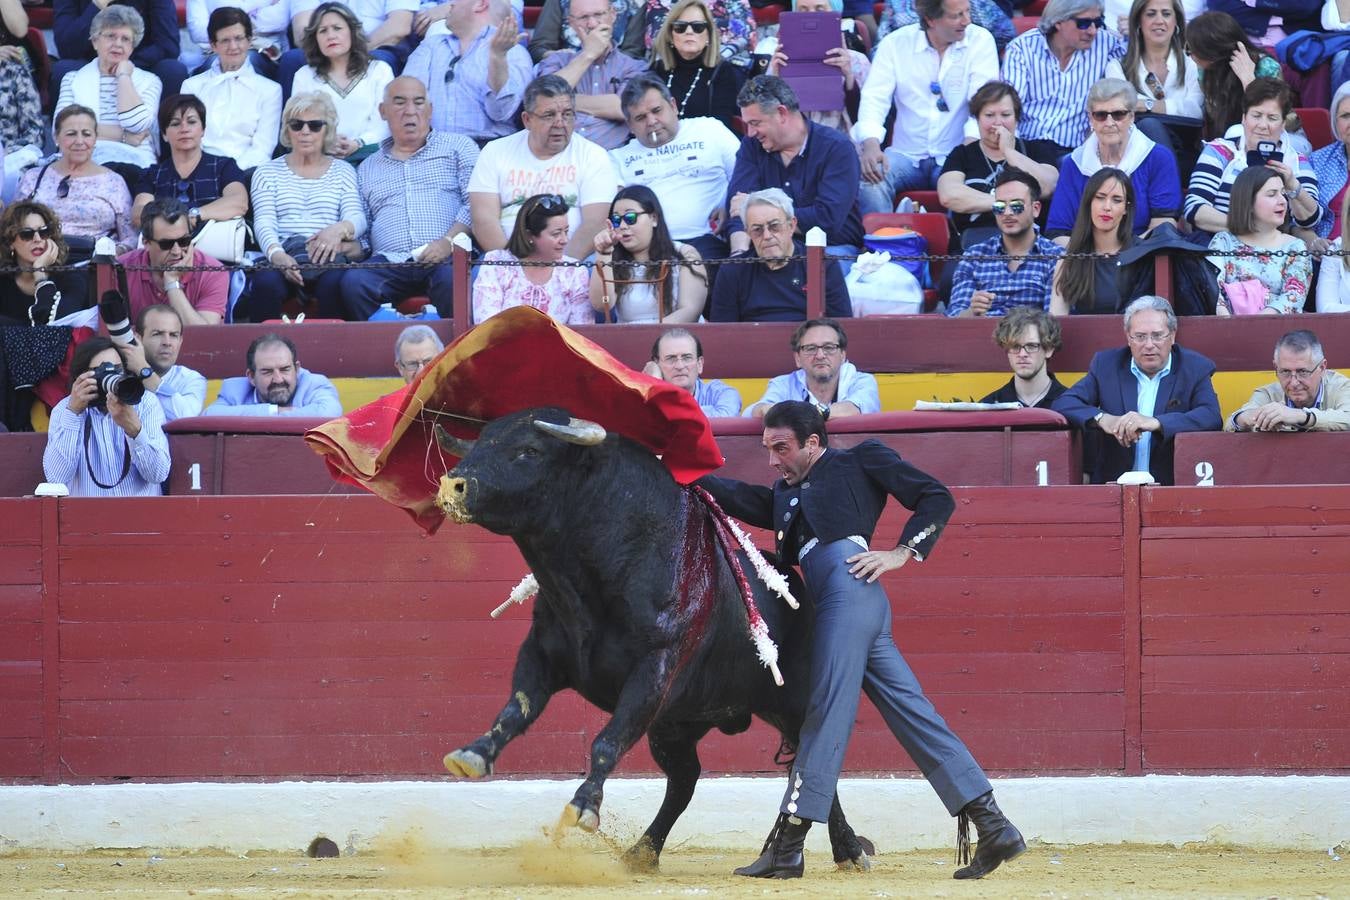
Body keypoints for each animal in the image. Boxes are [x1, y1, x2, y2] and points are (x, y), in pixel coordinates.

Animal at [434, 410, 874, 874]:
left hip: (793, 702)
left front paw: (583, 807)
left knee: (814, 759)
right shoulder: (541, 655)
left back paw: (849, 851)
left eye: (529, 450)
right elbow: (516, 709)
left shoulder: (655, 668)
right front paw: (473, 754)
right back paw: (644, 851)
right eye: (483, 440)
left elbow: (606, 740)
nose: (452, 486)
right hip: (676, 724)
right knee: (684, 780)